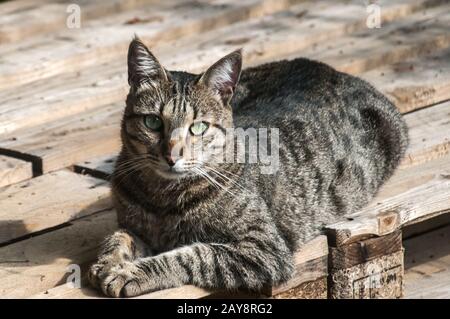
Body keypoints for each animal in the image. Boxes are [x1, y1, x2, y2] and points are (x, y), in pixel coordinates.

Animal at [88, 36, 408, 298]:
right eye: (153, 122)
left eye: (198, 127)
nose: (172, 155)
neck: (161, 197)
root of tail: (330, 69)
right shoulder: (133, 226)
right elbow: (117, 237)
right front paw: (108, 261)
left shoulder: (264, 249)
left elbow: (193, 254)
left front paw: (132, 272)